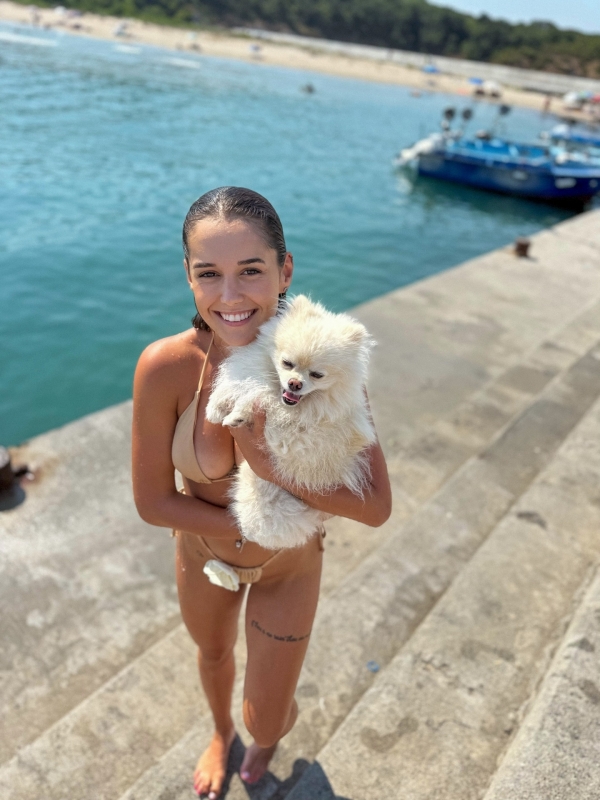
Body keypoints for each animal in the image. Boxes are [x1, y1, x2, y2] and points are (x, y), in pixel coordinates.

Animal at [206, 295, 376, 549]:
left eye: (317, 375)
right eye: (287, 363)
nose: (295, 383)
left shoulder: (289, 433)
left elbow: (258, 397)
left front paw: (237, 415)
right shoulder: (252, 373)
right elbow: (240, 385)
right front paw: (214, 408)